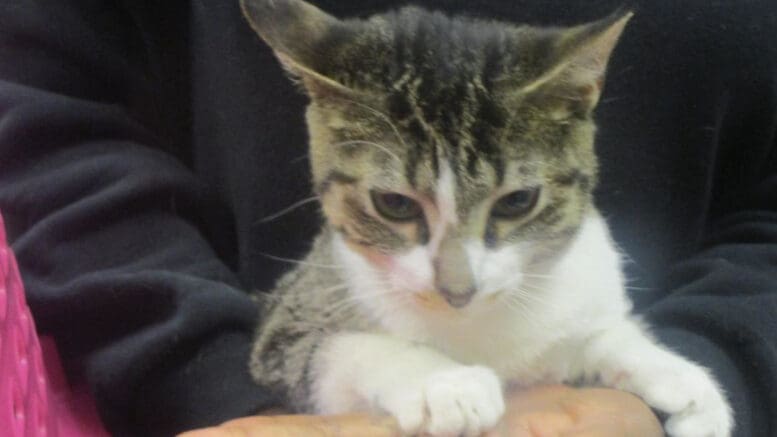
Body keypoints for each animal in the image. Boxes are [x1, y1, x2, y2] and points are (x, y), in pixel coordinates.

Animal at [239, 1, 732, 434]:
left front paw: (680, 378)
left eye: (517, 201)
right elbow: (332, 350)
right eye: (395, 203)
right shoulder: (289, 325)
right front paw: (443, 382)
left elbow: (598, 334)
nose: (458, 290)